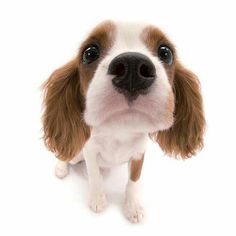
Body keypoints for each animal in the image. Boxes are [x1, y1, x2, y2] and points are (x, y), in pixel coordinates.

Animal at [42, 20, 205, 223]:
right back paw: (61, 168)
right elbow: (95, 176)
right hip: (76, 154)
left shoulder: (138, 154)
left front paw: (132, 207)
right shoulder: (89, 151)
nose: (132, 67)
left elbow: (133, 182)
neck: (119, 130)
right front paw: (98, 200)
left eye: (166, 53)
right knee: (66, 156)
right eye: (90, 53)